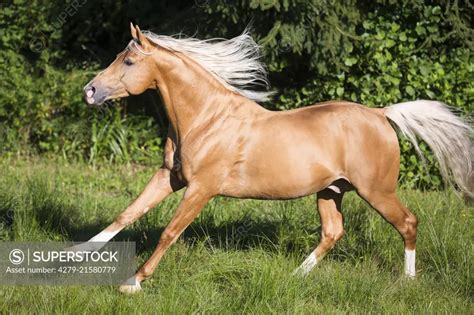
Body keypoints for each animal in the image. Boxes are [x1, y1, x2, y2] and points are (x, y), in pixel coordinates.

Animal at [80, 24, 470, 294]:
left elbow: (169, 232)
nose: (89, 91)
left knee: (407, 223)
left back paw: (407, 280)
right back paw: (297, 274)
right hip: (331, 190)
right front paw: (75, 254)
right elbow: (126, 214)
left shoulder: (201, 188)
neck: (206, 118)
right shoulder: (169, 176)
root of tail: (380, 114)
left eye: (129, 60)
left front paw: (133, 282)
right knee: (333, 231)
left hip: (377, 190)